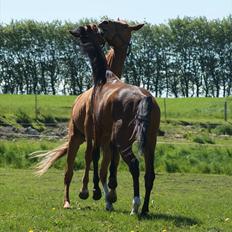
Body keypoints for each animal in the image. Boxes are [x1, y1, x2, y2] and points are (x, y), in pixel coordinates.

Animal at [29, 20, 144, 210]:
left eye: (123, 26)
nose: (103, 23)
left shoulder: (108, 140)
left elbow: (109, 165)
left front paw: (111, 196)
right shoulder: (92, 131)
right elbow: (89, 157)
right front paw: (86, 191)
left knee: (99, 166)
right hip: (75, 137)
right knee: (70, 170)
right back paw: (68, 201)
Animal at [70, 24, 160, 215]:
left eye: (82, 35)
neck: (104, 78)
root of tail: (144, 98)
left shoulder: (97, 129)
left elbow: (95, 155)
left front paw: (96, 191)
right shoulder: (110, 138)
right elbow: (110, 163)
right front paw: (109, 194)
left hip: (124, 141)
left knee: (134, 165)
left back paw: (135, 205)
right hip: (150, 142)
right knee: (149, 173)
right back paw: (145, 209)